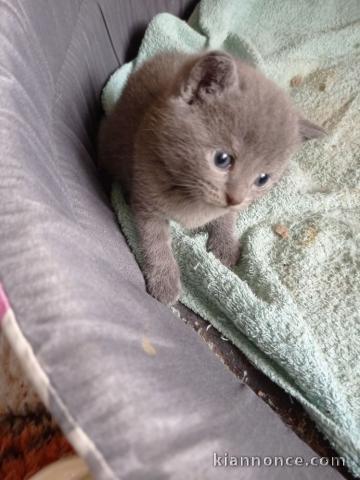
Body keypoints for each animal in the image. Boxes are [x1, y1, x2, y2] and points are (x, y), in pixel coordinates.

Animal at [97, 50, 324, 306]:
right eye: (222, 159)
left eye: (263, 178)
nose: (236, 198)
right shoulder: (147, 201)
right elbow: (155, 242)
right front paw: (165, 281)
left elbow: (226, 217)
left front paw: (225, 245)